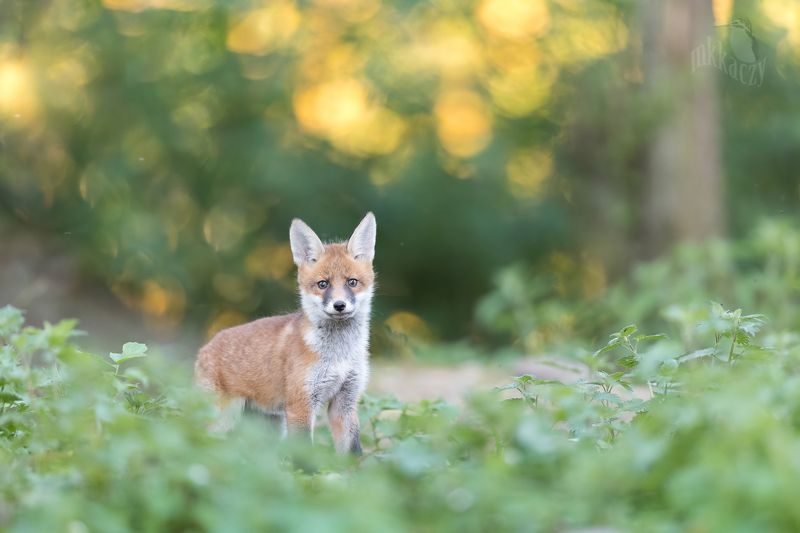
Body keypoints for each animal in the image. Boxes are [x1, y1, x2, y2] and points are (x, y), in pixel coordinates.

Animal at [194, 212, 377, 454]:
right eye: (323, 284)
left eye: (352, 282)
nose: (339, 305)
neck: (339, 355)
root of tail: (206, 346)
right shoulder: (301, 404)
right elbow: (304, 455)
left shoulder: (345, 402)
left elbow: (353, 453)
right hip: (222, 420)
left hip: (270, 425)